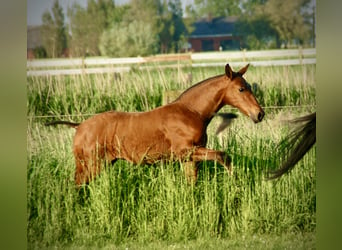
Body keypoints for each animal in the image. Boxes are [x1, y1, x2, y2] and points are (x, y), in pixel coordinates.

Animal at [46, 64, 264, 186]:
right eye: (241, 89)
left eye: (249, 86)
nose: (259, 114)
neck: (191, 113)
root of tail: (79, 126)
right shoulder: (185, 152)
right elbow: (223, 156)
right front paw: (234, 181)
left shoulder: (190, 158)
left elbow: (192, 184)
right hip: (92, 166)